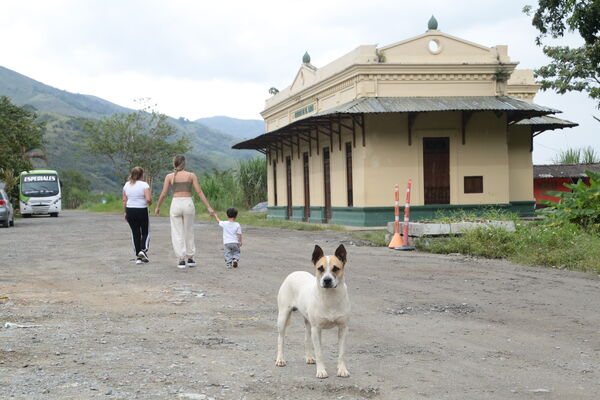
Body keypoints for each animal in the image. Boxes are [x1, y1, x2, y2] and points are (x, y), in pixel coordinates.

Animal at [274, 244, 350, 378]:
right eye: (320, 268)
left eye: (336, 268)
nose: (327, 280)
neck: (330, 296)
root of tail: (294, 273)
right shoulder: (317, 328)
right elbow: (319, 352)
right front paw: (321, 371)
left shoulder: (343, 328)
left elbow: (341, 353)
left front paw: (342, 370)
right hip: (283, 316)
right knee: (280, 339)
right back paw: (280, 359)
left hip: (308, 323)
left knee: (306, 339)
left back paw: (309, 357)